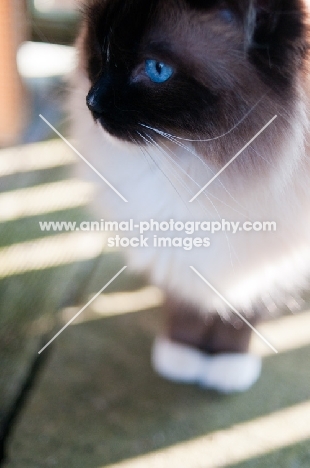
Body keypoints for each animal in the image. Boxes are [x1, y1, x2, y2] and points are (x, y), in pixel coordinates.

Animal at [71, 1, 310, 394]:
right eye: (100, 48)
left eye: (157, 69)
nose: (92, 101)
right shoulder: (175, 249)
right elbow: (184, 305)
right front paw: (181, 356)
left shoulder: (264, 257)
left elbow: (242, 314)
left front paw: (227, 363)